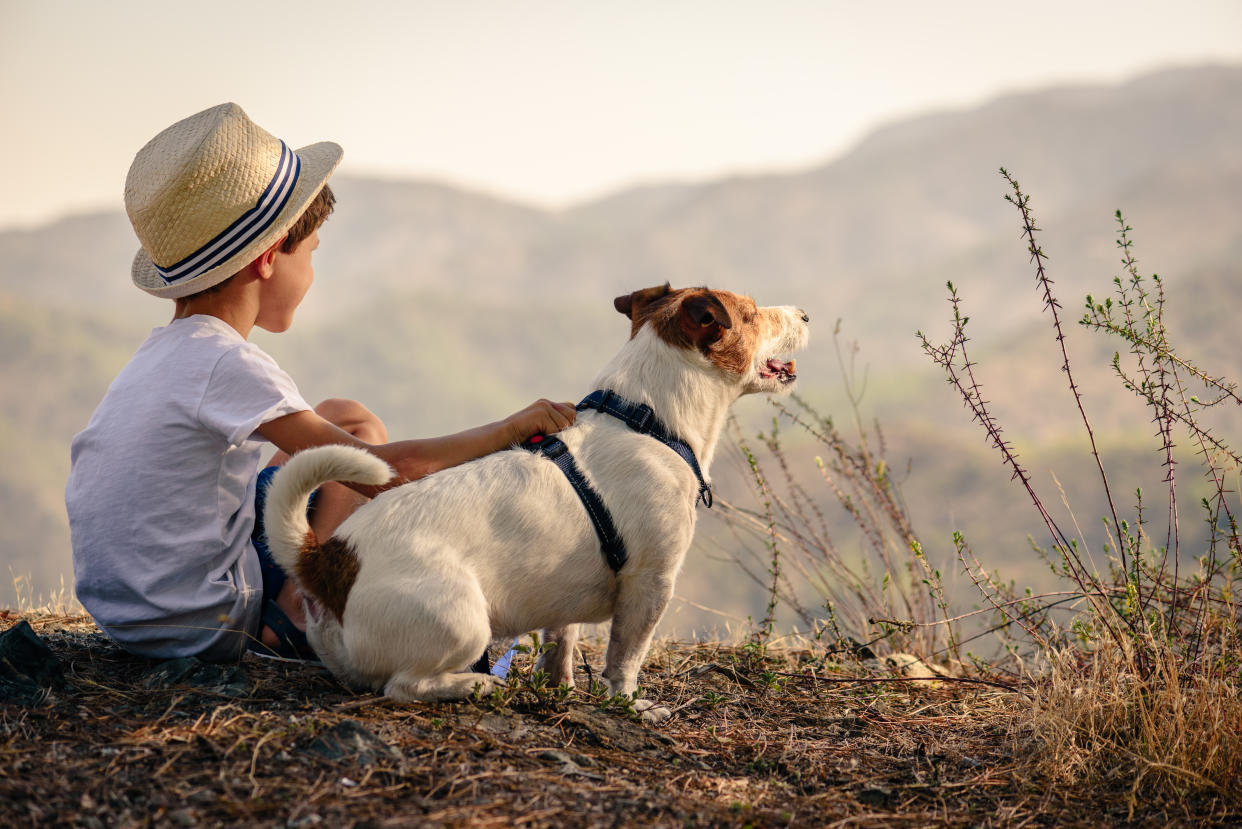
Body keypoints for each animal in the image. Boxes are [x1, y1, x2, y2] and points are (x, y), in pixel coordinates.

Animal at [264, 283, 804, 720]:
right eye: (751, 312)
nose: (805, 313)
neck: (647, 420)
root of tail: (325, 561)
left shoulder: (562, 597)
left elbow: (559, 642)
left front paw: (559, 688)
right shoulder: (651, 584)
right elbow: (625, 659)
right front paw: (630, 705)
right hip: (463, 620)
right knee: (403, 686)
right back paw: (475, 686)